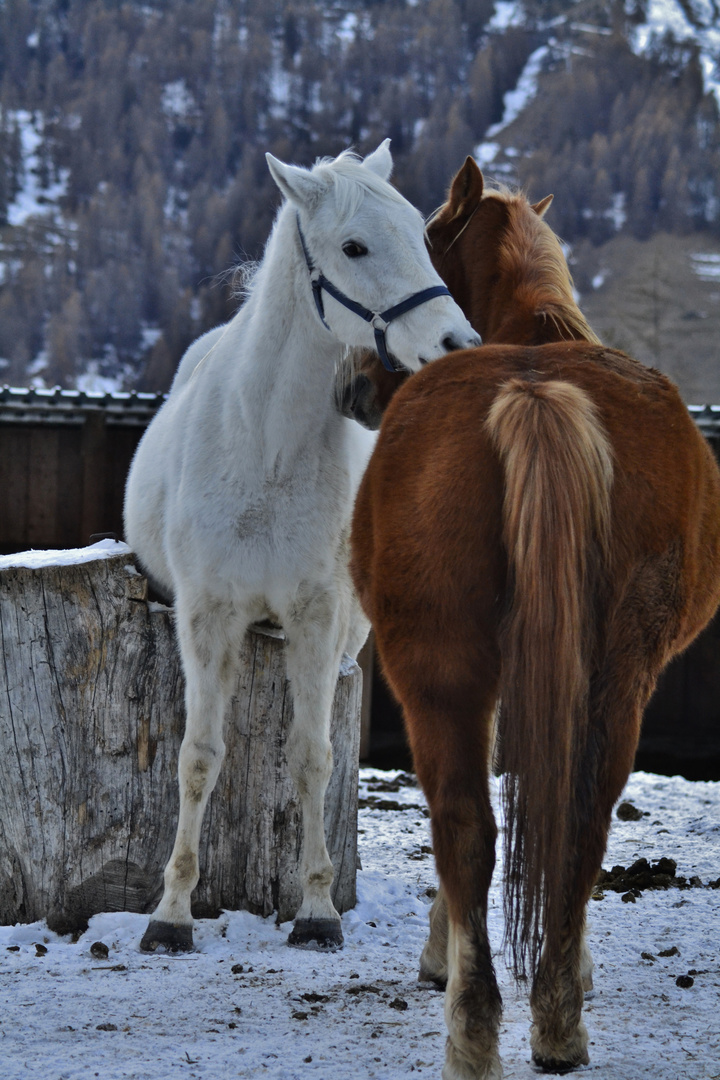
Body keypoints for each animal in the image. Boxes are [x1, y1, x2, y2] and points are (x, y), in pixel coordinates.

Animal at [126, 139, 481, 950]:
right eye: (354, 247)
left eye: (420, 236)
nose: (458, 344)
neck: (267, 448)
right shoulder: (207, 615)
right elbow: (198, 758)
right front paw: (171, 913)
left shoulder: (316, 618)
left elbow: (312, 758)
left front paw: (316, 908)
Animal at [351, 156, 720, 1075]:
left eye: (422, 242)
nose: (360, 385)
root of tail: (534, 388)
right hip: (617, 674)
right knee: (577, 817)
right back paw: (554, 1018)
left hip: (439, 671)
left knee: (466, 824)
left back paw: (475, 1027)